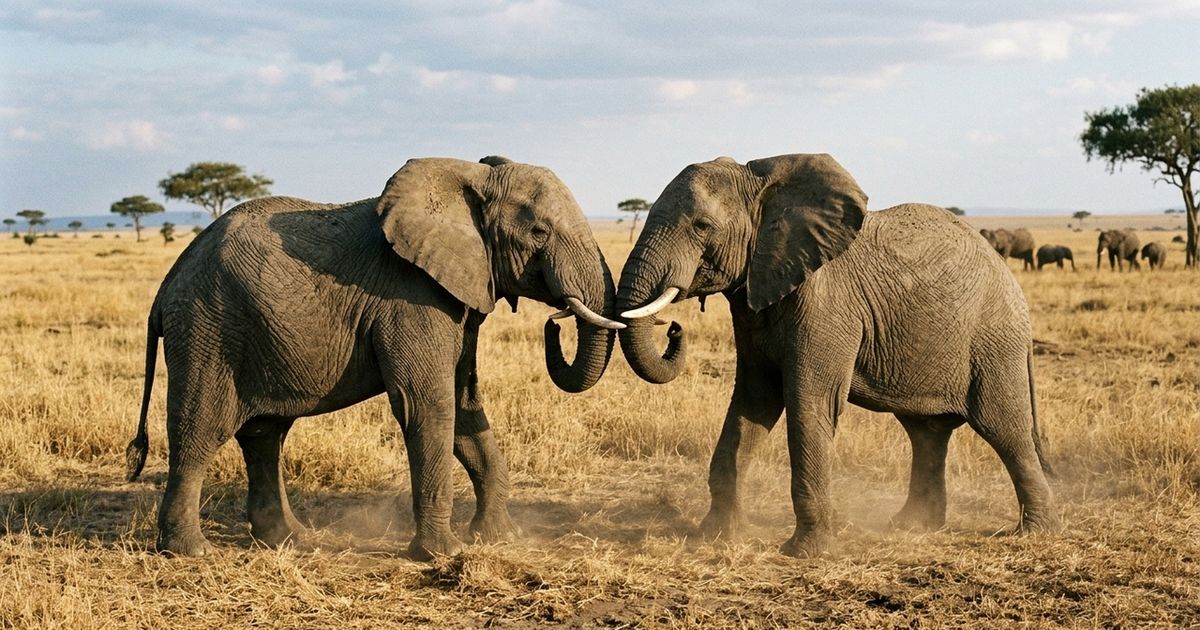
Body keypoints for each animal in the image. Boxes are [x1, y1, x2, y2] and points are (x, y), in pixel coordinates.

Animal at [124, 156, 625, 559]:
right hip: (208, 328)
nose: (555, 322)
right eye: (539, 232)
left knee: (265, 436)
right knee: (200, 431)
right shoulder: (411, 296)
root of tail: (166, 287)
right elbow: (429, 404)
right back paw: (190, 552)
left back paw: (289, 541)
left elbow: (464, 405)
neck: (468, 177)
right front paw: (442, 555)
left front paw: (501, 538)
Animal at [615, 154, 1059, 556]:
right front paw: (713, 537)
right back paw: (913, 526)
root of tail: (1011, 281)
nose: (673, 327)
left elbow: (809, 403)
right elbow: (752, 404)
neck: (762, 183)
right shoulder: (752, 297)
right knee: (926, 433)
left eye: (702, 226)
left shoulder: (826, 304)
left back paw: (1033, 532)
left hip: (994, 341)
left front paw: (806, 554)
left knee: (1005, 429)